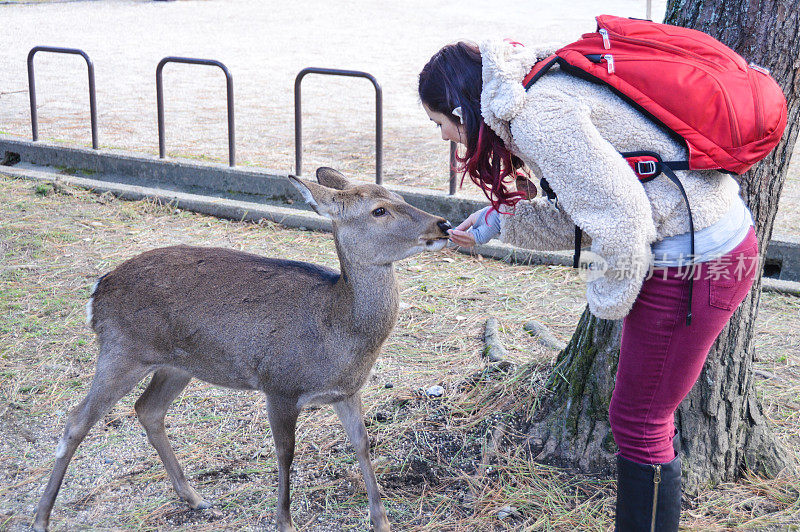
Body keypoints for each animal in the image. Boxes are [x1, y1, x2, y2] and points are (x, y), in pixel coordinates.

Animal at [32, 168, 450, 532]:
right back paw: (41, 519)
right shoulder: (279, 385)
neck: (336, 333)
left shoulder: (347, 391)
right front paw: (285, 523)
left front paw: (382, 521)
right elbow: (285, 452)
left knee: (147, 409)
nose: (443, 224)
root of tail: (96, 291)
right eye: (378, 210)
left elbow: (362, 444)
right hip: (122, 350)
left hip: (178, 365)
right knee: (76, 421)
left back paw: (196, 499)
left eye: (400, 196)